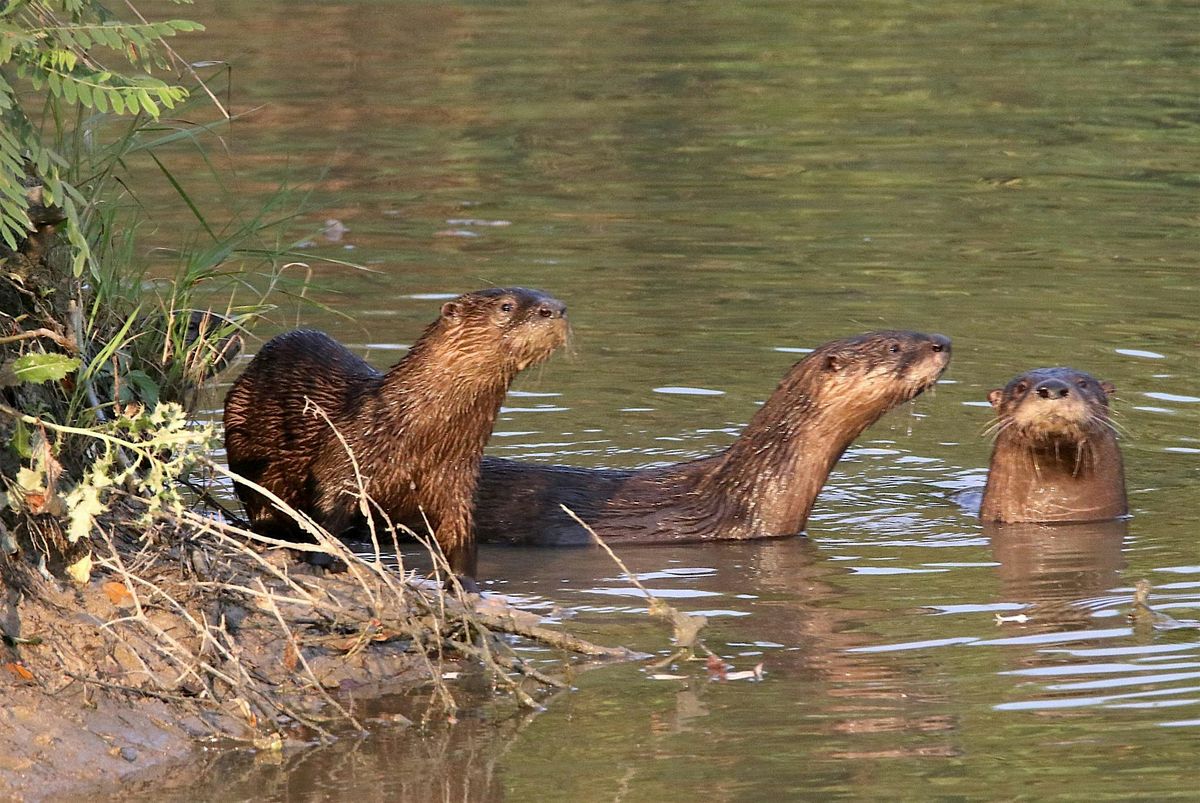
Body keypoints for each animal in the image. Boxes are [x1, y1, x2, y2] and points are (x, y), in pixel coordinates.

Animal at [223, 288, 569, 578]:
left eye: (547, 295)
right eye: (506, 306)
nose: (555, 308)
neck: (418, 436)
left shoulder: (456, 483)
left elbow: (460, 536)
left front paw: (463, 583)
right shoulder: (344, 460)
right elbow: (326, 516)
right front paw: (323, 560)